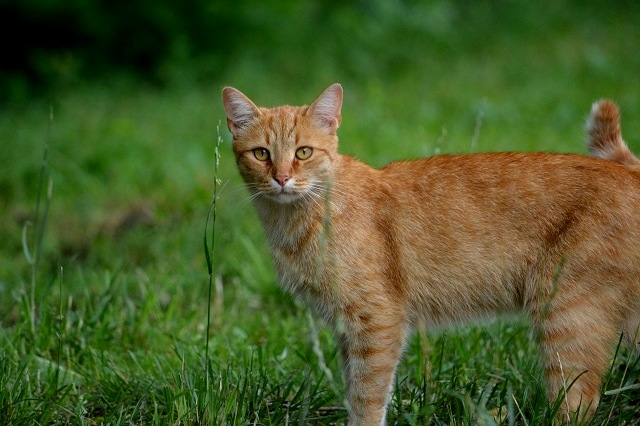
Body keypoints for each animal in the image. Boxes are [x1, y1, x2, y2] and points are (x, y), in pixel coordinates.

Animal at [221, 84, 640, 426]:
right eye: (261, 154)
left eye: (303, 152)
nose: (281, 179)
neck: (296, 221)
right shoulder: (346, 330)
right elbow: (354, 387)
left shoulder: (377, 322)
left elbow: (368, 397)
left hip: (566, 319)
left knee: (578, 403)